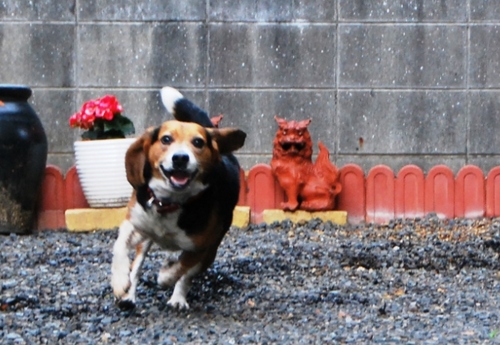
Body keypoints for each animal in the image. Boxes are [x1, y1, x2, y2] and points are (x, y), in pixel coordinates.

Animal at [112, 86, 247, 310]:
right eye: (166, 139)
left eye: (198, 142)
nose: (180, 158)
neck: (169, 202)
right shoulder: (134, 222)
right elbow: (120, 247)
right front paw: (119, 281)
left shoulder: (201, 247)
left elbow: (181, 268)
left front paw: (165, 276)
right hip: (146, 240)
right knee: (137, 265)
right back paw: (129, 295)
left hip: (211, 251)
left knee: (186, 274)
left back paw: (177, 297)